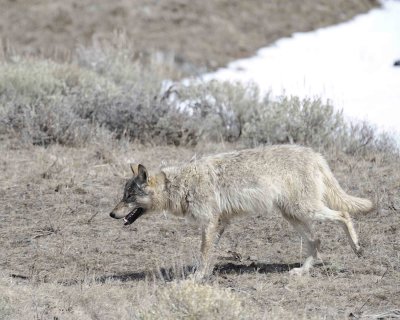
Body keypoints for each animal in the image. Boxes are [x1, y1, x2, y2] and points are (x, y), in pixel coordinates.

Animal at [108, 144, 372, 278]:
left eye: (128, 197)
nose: (111, 214)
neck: (179, 185)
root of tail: (316, 155)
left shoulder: (209, 223)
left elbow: (203, 253)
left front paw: (196, 278)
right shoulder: (220, 224)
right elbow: (209, 254)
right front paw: (204, 273)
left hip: (306, 210)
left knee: (344, 215)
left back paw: (357, 249)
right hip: (294, 215)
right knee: (316, 241)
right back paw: (303, 270)